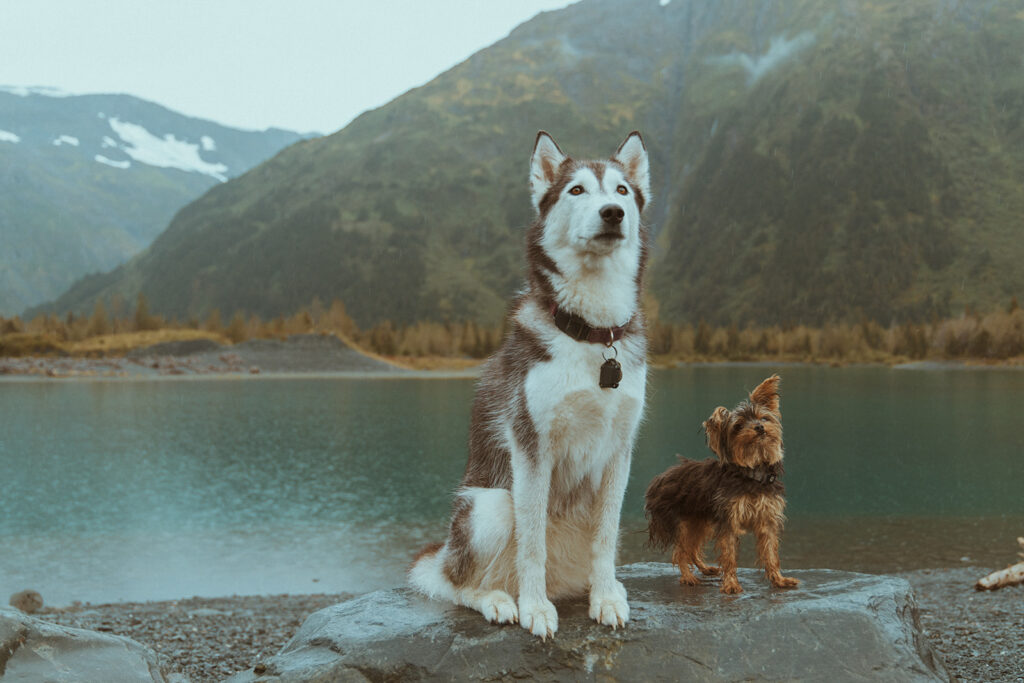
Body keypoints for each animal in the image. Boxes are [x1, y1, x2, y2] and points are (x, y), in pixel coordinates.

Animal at [407, 131, 647, 638]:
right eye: (576, 190)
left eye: (621, 191)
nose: (612, 213)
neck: (591, 334)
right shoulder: (531, 445)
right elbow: (532, 542)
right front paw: (535, 608)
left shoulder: (620, 449)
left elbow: (605, 538)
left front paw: (605, 597)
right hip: (490, 506)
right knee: (459, 583)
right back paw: (500, 600)